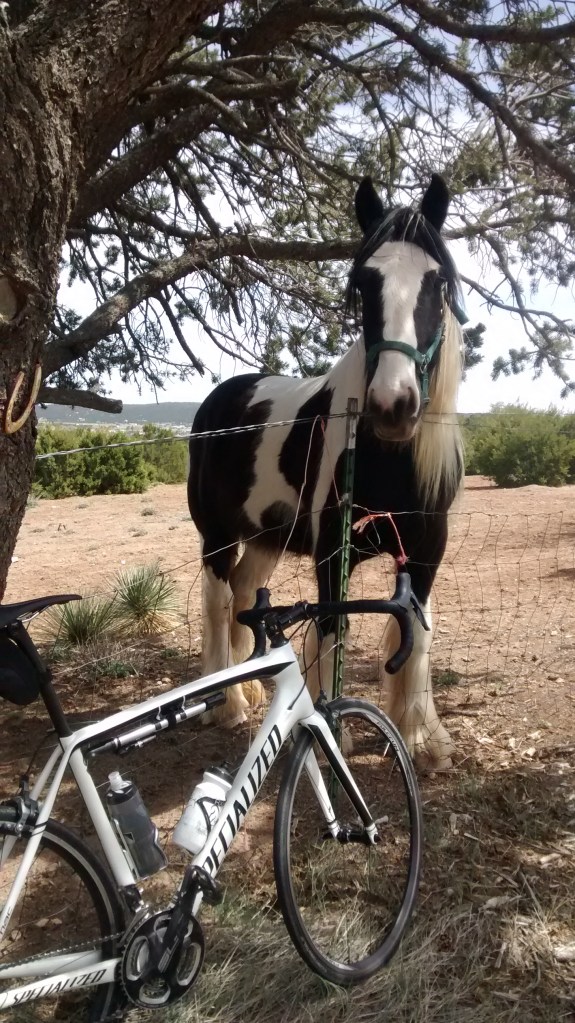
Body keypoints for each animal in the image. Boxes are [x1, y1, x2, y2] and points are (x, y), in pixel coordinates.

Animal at [188, 173, 465, 770]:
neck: (388, 460)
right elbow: (332, 628)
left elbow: (417, 633)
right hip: (217, 536)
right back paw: (228, 704)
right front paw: (329, 729)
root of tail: (222, 397)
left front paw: (422, 737)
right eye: (364, 281)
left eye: (437, 281)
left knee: (242, 595)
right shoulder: (331, 553)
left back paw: (250, 690)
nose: (393, 406)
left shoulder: (427, 548)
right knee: (218, 603)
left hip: (266, 538)